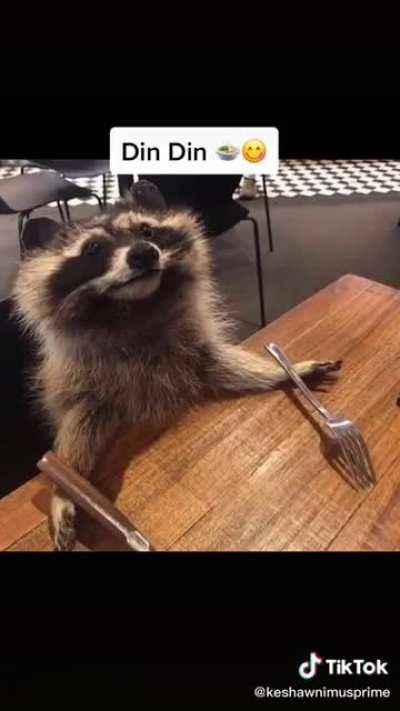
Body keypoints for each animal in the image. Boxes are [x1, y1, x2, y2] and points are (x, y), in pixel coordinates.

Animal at [13, 197, 341, 550]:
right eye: (93, 248)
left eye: (147, 230)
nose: (144, 252)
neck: (135, 308)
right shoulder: (87, 380)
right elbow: (79, 424)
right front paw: (63, 489)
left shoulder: (190, 350)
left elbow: (221, 365)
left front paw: (285, 371)